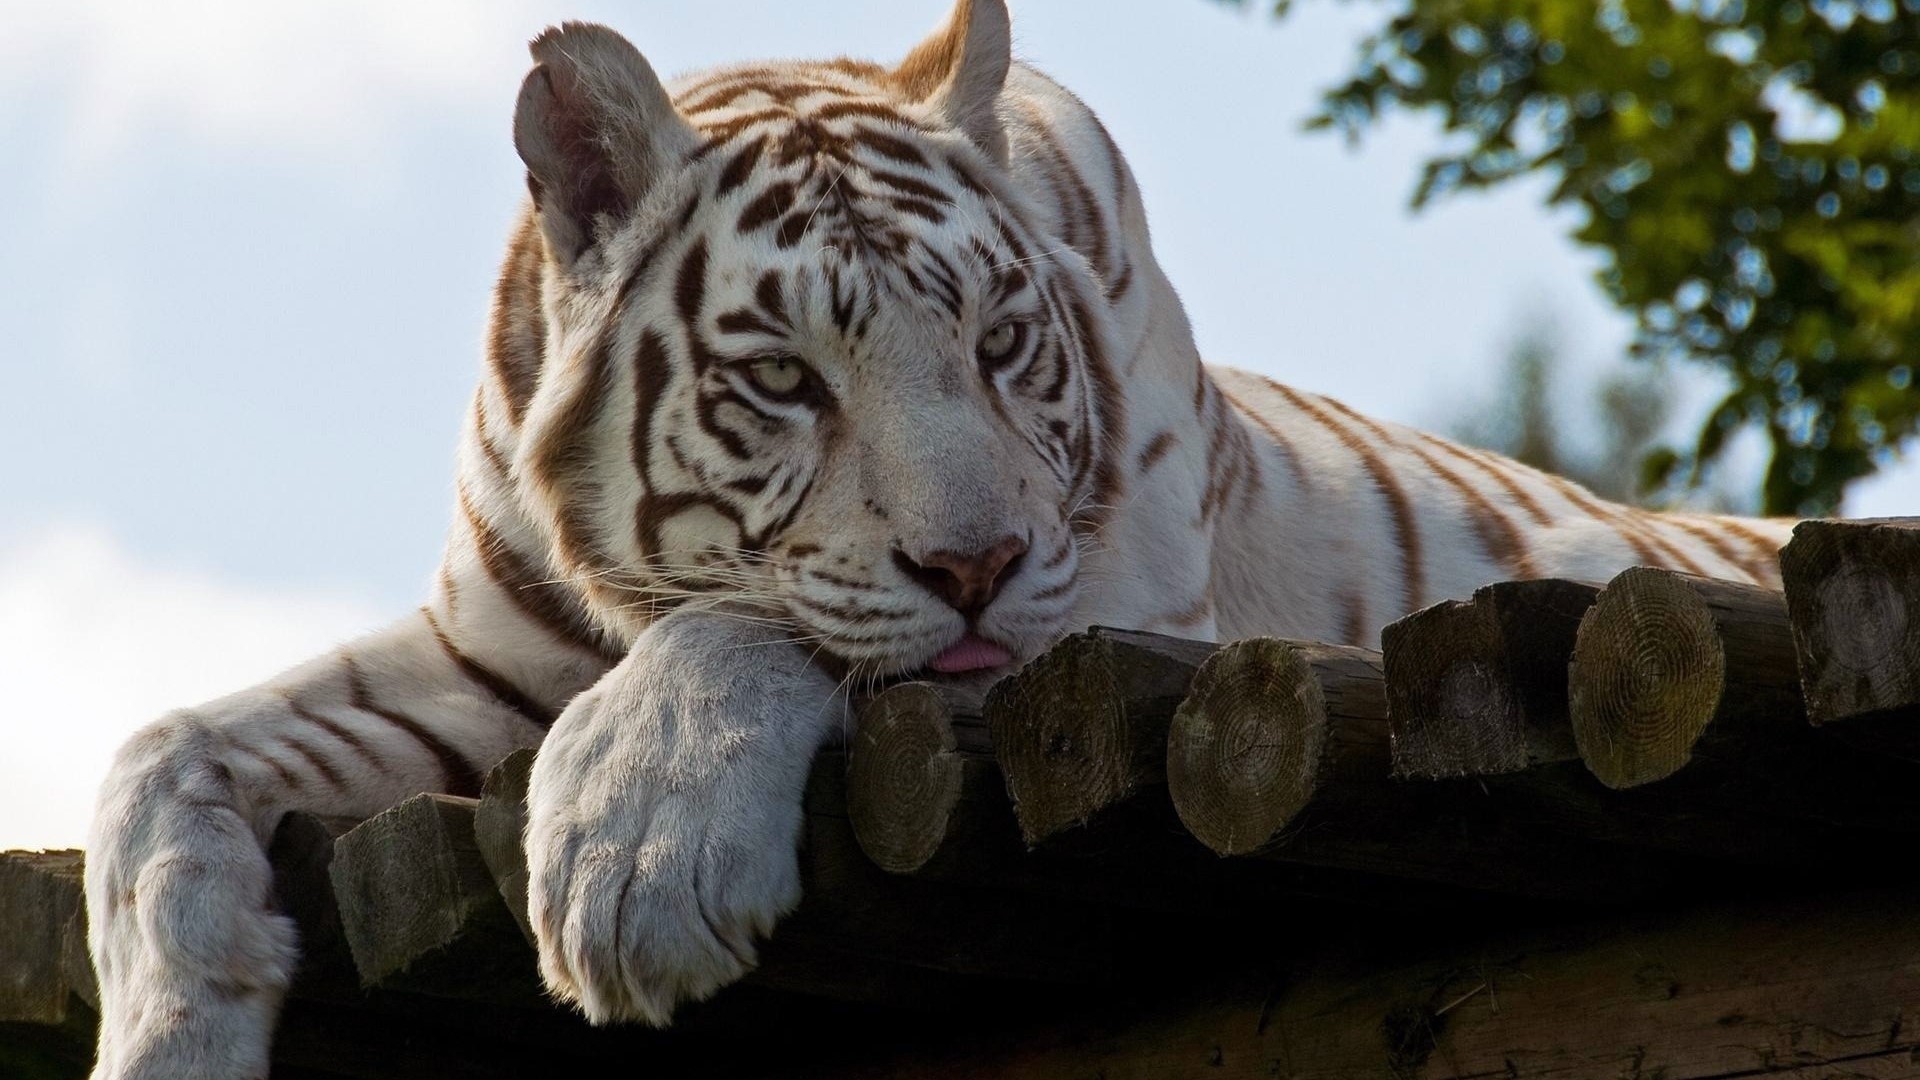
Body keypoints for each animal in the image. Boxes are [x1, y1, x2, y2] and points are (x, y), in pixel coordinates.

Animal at [82, 2, 1797, 1076]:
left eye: (997, 343)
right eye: (785, 377)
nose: (974, 567)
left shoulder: (1104, 606)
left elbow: (759, 621)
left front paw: (633, 862)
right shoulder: (476, 658)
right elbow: (160, 751)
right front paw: (170, 1034)